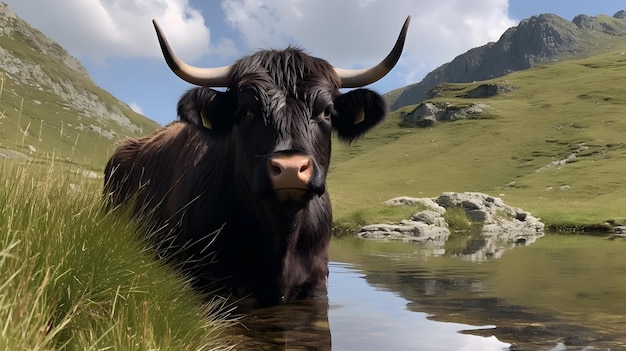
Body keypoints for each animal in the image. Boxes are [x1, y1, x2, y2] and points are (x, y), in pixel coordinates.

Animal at [103, 17, 410, 306]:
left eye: (326, 111)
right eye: (245, 111)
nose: (290, 169)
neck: (281, 236)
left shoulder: (316, 283)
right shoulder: (210, 282)